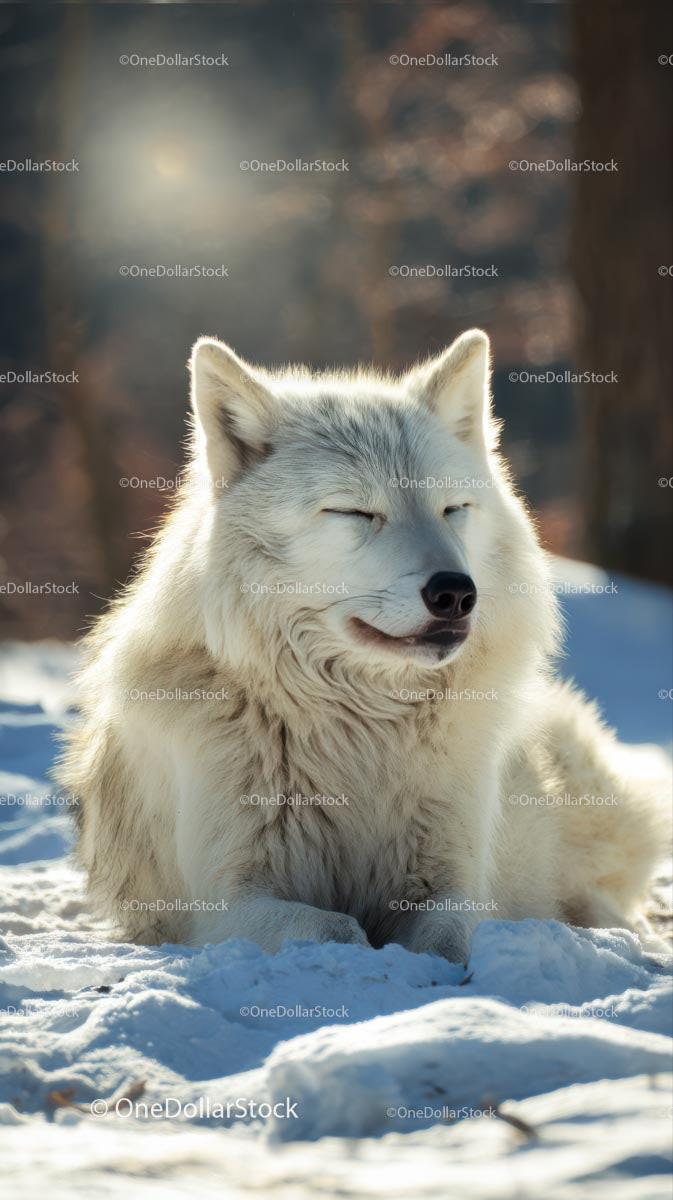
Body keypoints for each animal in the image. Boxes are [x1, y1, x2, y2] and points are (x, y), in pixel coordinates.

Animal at [56, 329, 671, 959]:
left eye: (453, 508)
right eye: (355, 511)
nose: (456, 593)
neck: (362, 731)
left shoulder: (452, 884)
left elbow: (451, 938)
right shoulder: (226, 907)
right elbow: (338, 930)